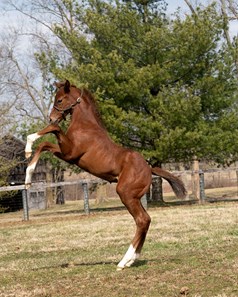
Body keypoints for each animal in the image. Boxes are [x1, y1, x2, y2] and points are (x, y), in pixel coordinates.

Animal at [25, 80, 187, 270]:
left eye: (59, 100)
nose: (51, 117)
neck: (85, 126)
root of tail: (149, 169)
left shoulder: (70, 153)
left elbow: (51, 133)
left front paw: (28, 149)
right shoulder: (66, 153)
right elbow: (44, 145)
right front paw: (27, 176)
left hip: (125, 193)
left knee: (142, 220)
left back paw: (123, 261)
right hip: (135, 197)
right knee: (146, 220)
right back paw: (131, 259)